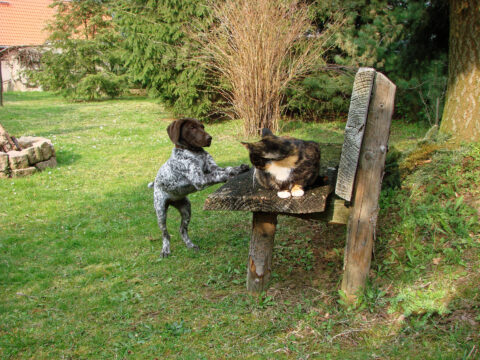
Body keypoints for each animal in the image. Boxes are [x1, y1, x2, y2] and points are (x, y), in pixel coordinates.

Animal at [149, 118, 248, 256]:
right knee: (165, 234)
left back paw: (191, 245)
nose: (210, 138)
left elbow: (226, 169)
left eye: (202, 127)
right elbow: (219, 174)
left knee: (182, 230)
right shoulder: (200, 179)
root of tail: (155, 183)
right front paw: (231, 174)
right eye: (192, 128)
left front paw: (238, 168)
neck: (196, 153)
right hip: (161, 212)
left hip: (186, 209)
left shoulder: (212, 167)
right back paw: (165, 250)